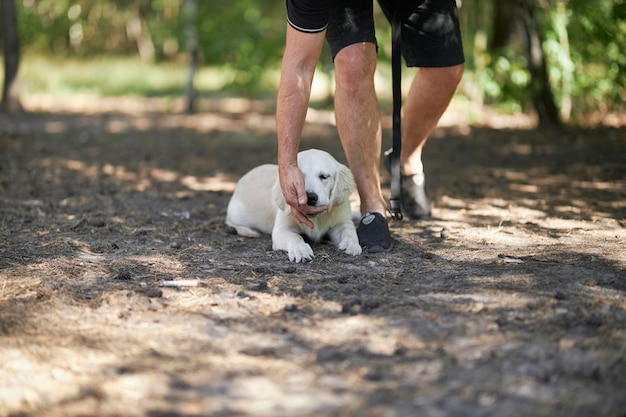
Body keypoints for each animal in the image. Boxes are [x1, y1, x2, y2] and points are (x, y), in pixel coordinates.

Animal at [224, 148, 360, 262]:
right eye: (299, 178)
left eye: (324, 176)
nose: (310, 197)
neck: (316, 218)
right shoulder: (281, 229)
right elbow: (294, 237)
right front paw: (301, 250)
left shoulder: (342, 223)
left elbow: (349, 231)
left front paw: (352, 244)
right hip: (235, 213)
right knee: (232, 223)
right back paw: (248, 231)